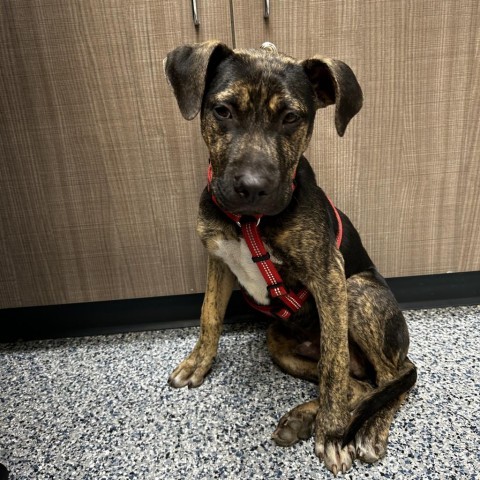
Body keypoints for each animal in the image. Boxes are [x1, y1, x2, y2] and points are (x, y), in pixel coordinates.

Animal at [162, 42, 416, 476]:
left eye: (291, 118)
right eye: (223, 111)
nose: (252, 188)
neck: (251, 223)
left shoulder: (330, 276)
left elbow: (333, 366)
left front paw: (331, 434)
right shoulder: (219, 261)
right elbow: (209, 314)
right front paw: (198, 362)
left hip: (358, 291)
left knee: (390, 377)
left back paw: (363, 429)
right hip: (278, 341)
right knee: (361, 385)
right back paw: (303, 418)